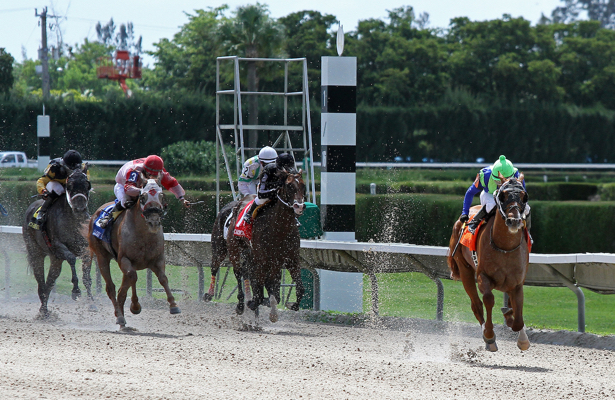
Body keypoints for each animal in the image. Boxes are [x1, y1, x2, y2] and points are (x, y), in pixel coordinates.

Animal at [22, 167, 94, 318]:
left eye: (87, 185)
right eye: (70, 186)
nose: (80, 207)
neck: (74, 220)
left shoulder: (86, 249)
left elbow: (87, 277)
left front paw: (91, 303)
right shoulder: (58, 246)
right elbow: (72, 258)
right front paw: (76, 291)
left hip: (55, 259)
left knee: (49, 282)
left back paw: (44, 309)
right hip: (35, 251)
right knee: (41, 281)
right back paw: (43, 310)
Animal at [88, 180, 182, 330]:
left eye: (161, 196)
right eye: (142, 197)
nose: (154, 221)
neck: (144, 234)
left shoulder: (157, 259)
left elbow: (163, 278)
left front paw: (174, 305)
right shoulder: (124, 259)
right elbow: (133, 277)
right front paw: (135, 306)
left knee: (122, 290)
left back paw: (122, 321)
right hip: (101, 256)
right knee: (111, 288)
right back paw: (120, 317)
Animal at [448, 173, 528, 352]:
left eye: (523, 196)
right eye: (502, 195)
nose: (514, 221)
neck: (505, 247)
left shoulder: (517, 282)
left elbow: (518, 314)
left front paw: (522, 337)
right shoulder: (482, 277)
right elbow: (488, 300)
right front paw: (490, 336)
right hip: (464, 270)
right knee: (476, 305)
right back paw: (487, 337)